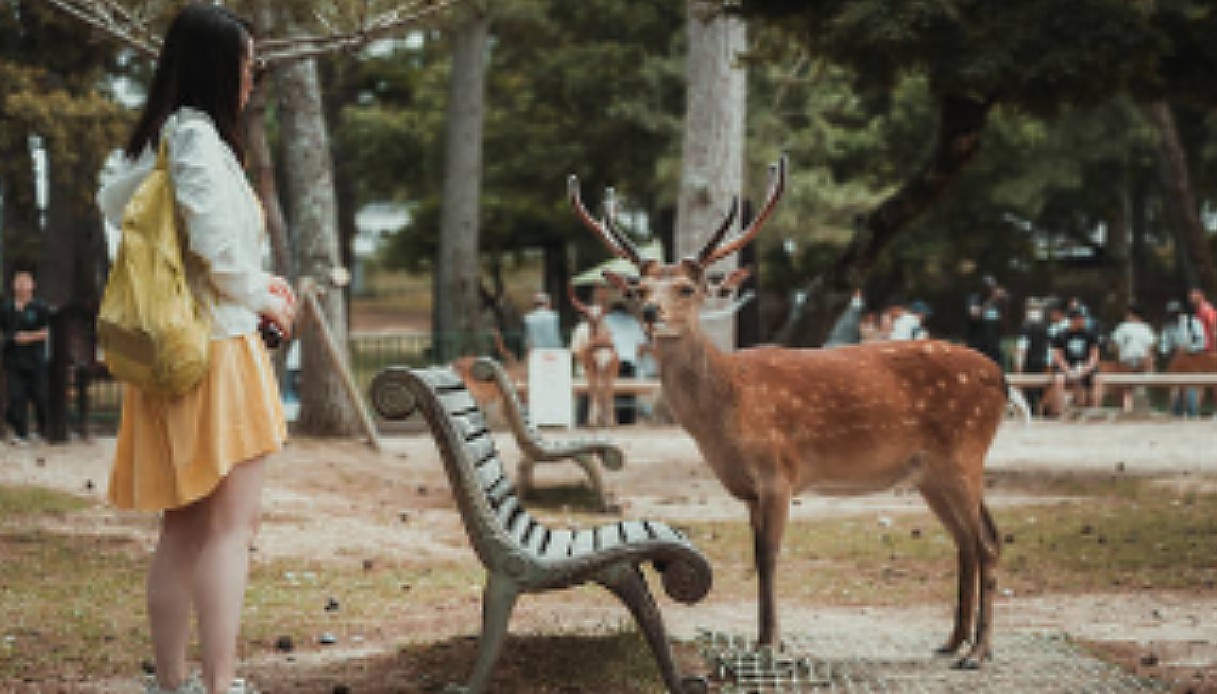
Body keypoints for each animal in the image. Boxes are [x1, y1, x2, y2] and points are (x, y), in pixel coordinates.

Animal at [569, 281, 623, 426]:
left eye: (600, 316)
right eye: (587, 316)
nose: (593, 320)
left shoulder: (611, 367)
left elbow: (608, 390)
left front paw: (610, 420)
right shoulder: (592, 366)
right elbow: (596, 389)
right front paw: (594, 420)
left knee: (603, 388)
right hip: (588, 368)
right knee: (596, 388)